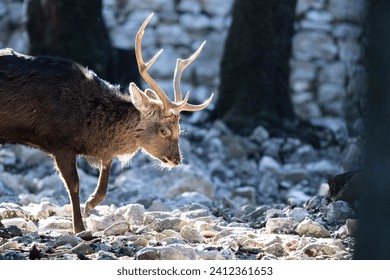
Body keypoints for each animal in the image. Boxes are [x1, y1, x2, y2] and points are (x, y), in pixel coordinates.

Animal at [0, 13, 213, 233]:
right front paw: (80, 227)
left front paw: (90, 204)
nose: (177, 160)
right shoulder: (60, 142)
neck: (87, 125)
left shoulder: (100, 151)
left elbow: (104, 184)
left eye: (180, 129)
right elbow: (74, 184)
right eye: (164, 131)